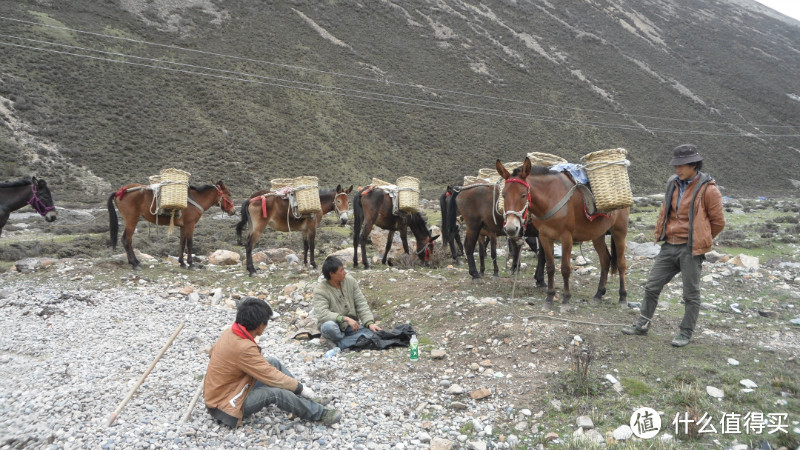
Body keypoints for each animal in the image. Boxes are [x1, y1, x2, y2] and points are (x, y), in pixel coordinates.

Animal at [500, 159, 624, 310]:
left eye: (523, 195)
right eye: (503, 195)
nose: (511, 228)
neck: (550, 198)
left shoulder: (566, 238)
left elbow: (565, 268)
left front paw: (566, 299)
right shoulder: (545, 237)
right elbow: (550, 267)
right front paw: (549, 298)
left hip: (619, 231)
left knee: (621, 263)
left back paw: (623, 297)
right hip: (597, 234)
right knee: (605, 259)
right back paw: (599, 294)